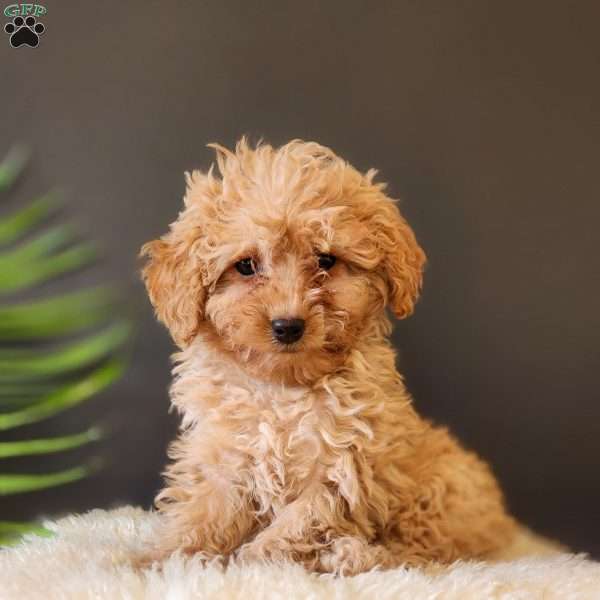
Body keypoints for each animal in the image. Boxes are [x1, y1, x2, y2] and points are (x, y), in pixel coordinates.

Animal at [141, 138, 516, 576]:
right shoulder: (224, 457)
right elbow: (205, 511)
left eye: (325, 261)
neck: (283, 390)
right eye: (246, 266)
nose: (288, 326)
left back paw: (352, 554)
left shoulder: (345, 467)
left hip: (447, 491)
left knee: (416, 553)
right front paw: (165, 558)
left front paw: (257, 560)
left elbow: (305, 518)